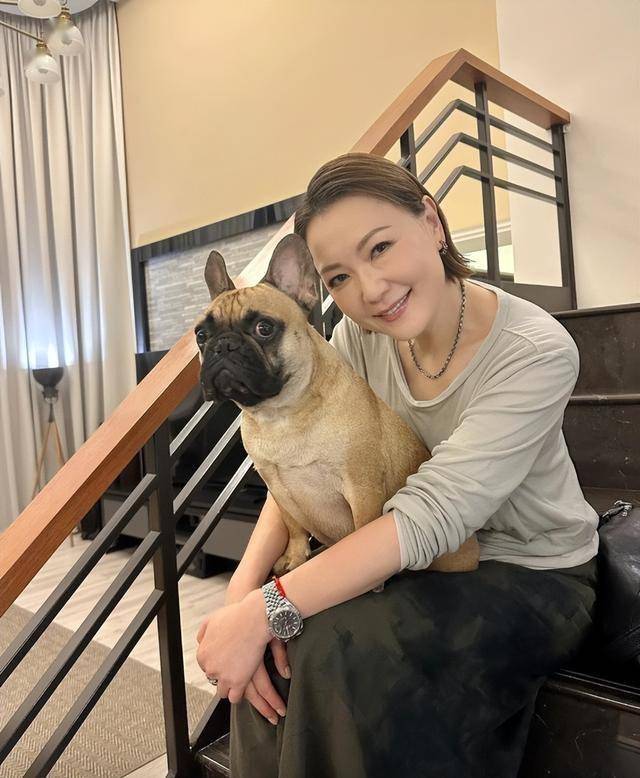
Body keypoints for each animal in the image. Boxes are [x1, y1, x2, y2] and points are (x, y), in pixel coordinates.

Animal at [194, 233, 479, 591]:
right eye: (201, 335)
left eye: (264, 328)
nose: (222, 346)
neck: (282, 413)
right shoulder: (276, 487)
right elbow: (294, 527)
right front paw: (295, 558)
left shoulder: (361, 485)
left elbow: (363, 528)